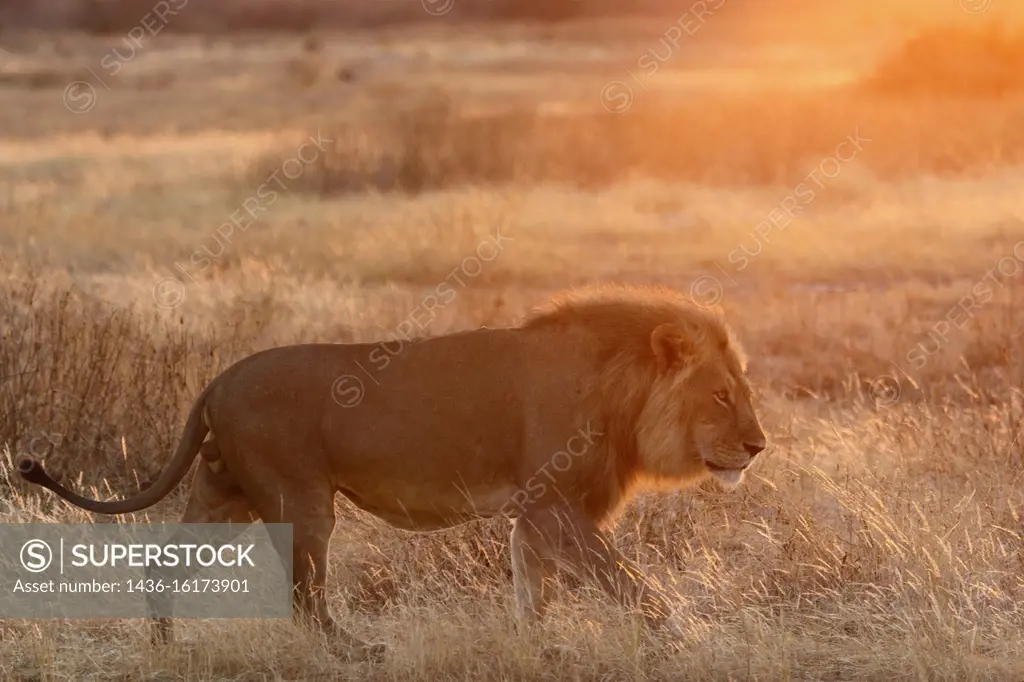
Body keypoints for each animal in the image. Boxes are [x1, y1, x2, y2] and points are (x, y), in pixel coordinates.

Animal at [18, 280, 770, 659]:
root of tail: (218, 379)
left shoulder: (535, 513)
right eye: (720, 395)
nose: (760, 446)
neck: (622, 396)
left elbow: (535, 591)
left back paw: (166, 648)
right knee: (304, 598)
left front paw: (537, 650)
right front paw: (687, 637)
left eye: (744, 387)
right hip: (299, 500)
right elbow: (629, 583)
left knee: (163, 565)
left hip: (223, 495)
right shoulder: (555, 501)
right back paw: (358, 653)